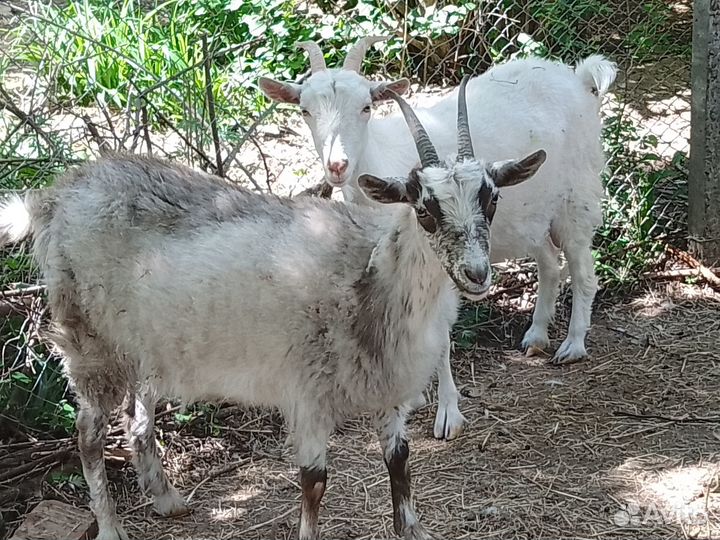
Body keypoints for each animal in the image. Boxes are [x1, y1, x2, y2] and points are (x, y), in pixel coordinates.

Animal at [0, 83, 545, 540]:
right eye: (425, 210)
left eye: (492, 200)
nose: (477, 273)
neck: (369, 275)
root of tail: (54, 196)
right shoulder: (306, 390)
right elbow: (314, 481)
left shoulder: (388, 388)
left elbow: (400, 461)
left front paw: (413, 530)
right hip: (88, 336)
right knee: (89, 436)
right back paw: (112, 527)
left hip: (141, 343)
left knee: (137, 418)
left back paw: (167, 499)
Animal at [259, 39, 617, 378]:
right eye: (305, 111)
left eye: (366, 107)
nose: (337, 165)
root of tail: (578, 79)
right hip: (535, 215)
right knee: (550, 265)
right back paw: (536, 337)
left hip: (576, 201)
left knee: (583, 272)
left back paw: (573, 345)